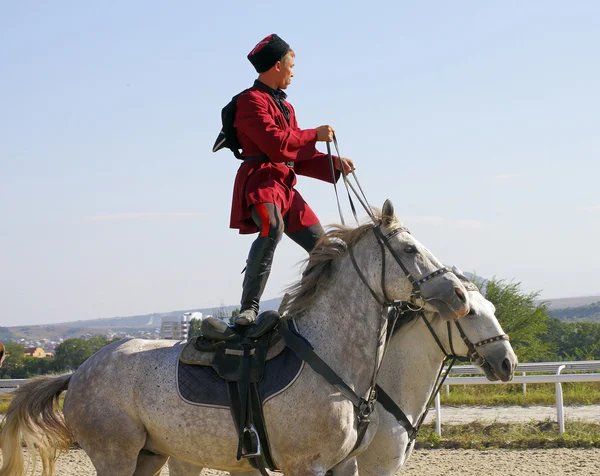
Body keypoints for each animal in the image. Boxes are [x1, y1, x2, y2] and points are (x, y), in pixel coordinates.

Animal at [2, 201, 474, 476]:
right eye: (410, 249)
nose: (460, 295)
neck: (331, 359)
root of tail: (78, 372)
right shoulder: (308, 467)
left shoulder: (343, 467)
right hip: (115, 456)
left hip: (150, 456)